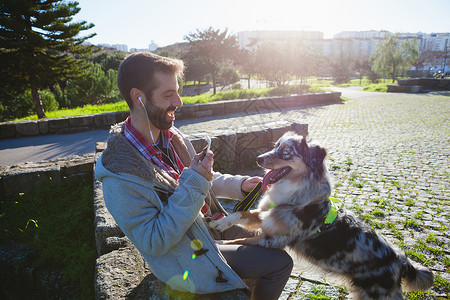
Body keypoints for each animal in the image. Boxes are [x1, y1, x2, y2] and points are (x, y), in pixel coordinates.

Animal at [209, 132, 434, 300]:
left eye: (286, 152)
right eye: (275, 146)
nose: (258, 159)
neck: (296, 193)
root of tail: (399, 259)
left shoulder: (272, 240)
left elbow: (239, 240)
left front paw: (218, 245)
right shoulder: (268, 216)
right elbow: (241, 212)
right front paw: (220, 224)